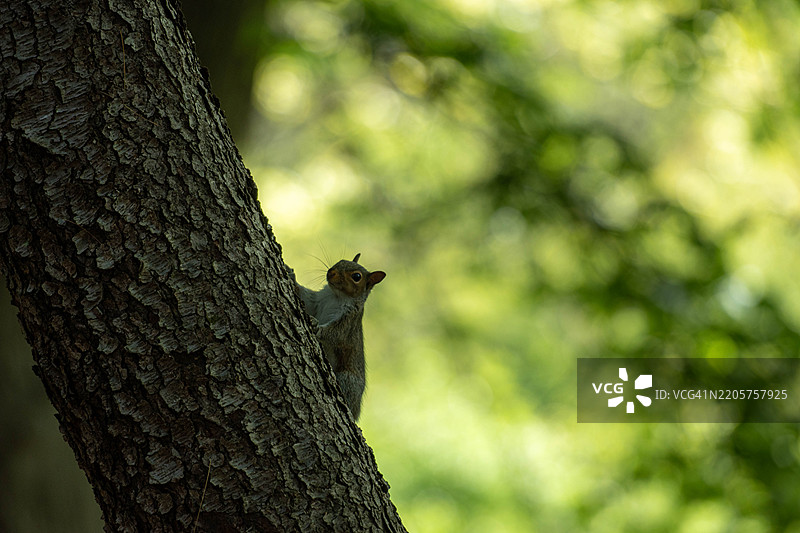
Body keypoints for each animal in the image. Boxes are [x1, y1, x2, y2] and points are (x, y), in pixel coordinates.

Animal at [293, 253, 386, 421]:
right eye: (341, 261)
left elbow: (335, 334)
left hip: (347, 379)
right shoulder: (317, 300)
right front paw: (291, 275)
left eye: (357, 276)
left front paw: (316, 327)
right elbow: (307, 299)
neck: (336, 295)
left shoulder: (348, 322)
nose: (331, 272)